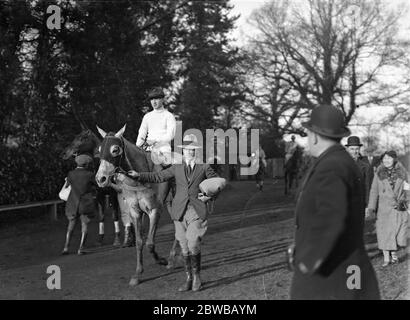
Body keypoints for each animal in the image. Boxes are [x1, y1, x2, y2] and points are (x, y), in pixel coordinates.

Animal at [95, 124, 176, 284]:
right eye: (100, 150)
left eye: (115, 149)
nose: (100, 179)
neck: (140, 179)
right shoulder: (136, 212)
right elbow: (139, 242)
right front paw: (137, 274)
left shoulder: (154, 210)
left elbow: (150, 243)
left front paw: (161, 260)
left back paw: (171, 257)